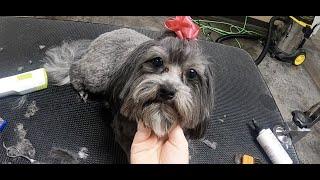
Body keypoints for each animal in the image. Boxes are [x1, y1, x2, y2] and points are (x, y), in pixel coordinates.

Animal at [42, 27, 215, 159]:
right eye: (157, 61)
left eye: (191, 73)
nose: (167, 90)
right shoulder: (122, 130)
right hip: (98, 74)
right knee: (76, 69)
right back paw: (82, 89)